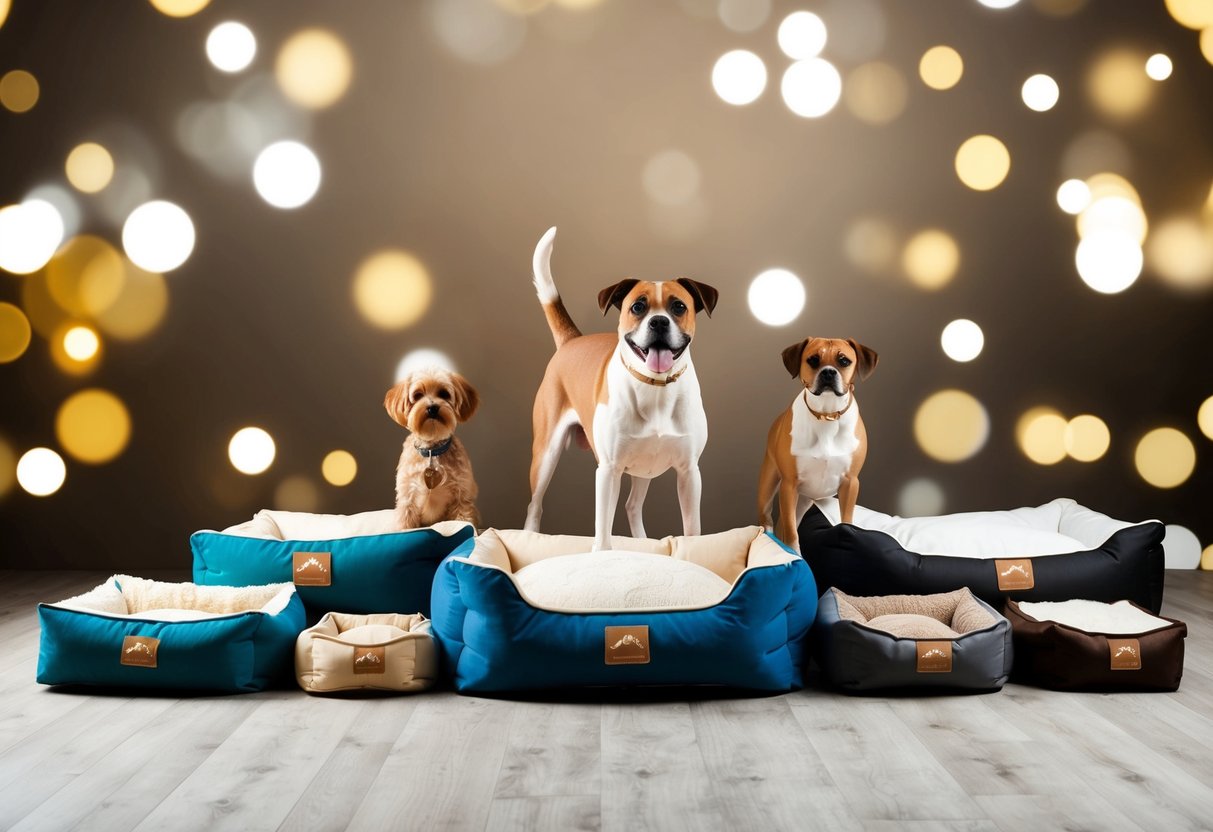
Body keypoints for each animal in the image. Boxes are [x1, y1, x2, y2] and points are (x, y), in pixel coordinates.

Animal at [383, 368, 477, 531]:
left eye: (444, 394)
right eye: (417, 395)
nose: (432, 408)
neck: (432, 451)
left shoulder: (461, 497)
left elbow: (463, 520)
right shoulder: (408, 497)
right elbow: (405, 524)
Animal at [524, 228, 713, 553]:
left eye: (679, 307)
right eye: (637, 307)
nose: (659, 322)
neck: (655, 388)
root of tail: (572, 340)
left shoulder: (689, 473)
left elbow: (692, 530)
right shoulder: (609, 471)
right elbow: (602, 532)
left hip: (642, 468)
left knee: (632, 505)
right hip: (546, 455)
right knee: (535, 505)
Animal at [752, 334, 878, 550]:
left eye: (844, 361)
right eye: (813, 360)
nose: (828, 372)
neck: (826, 414)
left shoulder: (850, 483)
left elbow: (846, 521)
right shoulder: (789, 485)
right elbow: (792, 534)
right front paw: (794, 554)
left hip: (802, 501)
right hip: (768, 490)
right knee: (770, 523)